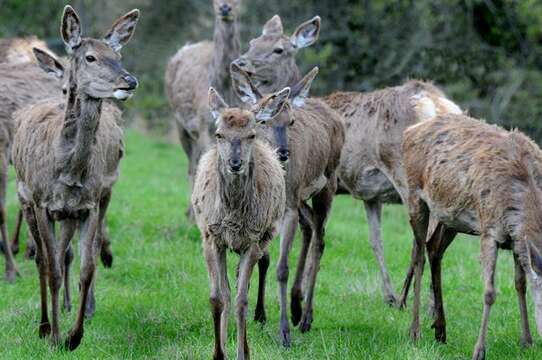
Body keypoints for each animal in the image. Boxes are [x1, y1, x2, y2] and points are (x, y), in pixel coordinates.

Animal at [11, 4, 140, 348]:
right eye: (90, 57)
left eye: (118, 55)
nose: (130, 80)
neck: (68, 170)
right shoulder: (43, 203)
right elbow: (52, 269)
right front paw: (55, 335)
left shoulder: (88, 206)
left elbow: (87, 267)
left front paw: (74, 335)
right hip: (25, 197)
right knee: (43, 261)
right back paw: (43, 325)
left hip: (72, 213)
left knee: (65, 254)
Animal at [166, 0, 242, 221]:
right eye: (214, 1)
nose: (225, 7)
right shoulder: (202, 126)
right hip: (180, 123)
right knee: (192, 166)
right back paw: (191, 213)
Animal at [191, 87, 286, 360]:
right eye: (219, 134)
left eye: (251, 134)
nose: (235, 163)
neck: (233, 218)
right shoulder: (211, 238)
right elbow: (217, 297)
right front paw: (217, 354)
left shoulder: (252, 241)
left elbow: (243, 300)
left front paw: (242, 353)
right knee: (226, 292)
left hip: (265, 237)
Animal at [232, 59, 346, 346]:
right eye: (263, 121)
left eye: (292, 121)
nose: (283, 152)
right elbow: (260, 258)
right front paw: (258, 314)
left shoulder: (289, 208)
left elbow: (281, 267)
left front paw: (283, 332)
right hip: (301, 197)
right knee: (310, 228)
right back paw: (296, 304)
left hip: (328, 184)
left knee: (320, 240)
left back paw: (305, 317)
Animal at [404, 100, 542, 358]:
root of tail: (410, 130)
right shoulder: (489, 229)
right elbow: (489, 292)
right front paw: (479, 350)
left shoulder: (517, 239)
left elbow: (520, 283)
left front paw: (527, 340)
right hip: (414, 195)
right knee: (418, 256)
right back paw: (415, 331)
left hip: (450, 218)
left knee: (433, 249)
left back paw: (440, 329)